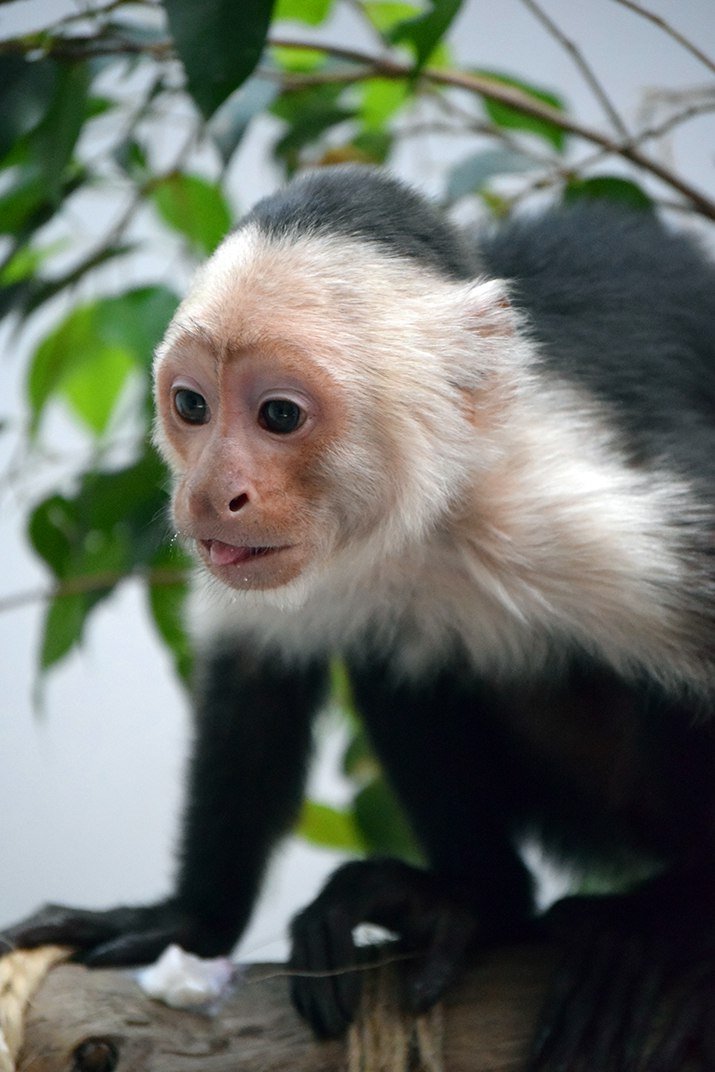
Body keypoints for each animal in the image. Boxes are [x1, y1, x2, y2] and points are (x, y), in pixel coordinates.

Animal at [4, 162, 711, 1067]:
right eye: (192, 406)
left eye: (278, 414)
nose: (207, 495)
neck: (438, 508)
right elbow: (254, 669)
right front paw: (189, 918)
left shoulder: (600, 522)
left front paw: (678, 934)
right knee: (402, 650)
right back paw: (473, 901)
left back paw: (657, 923)